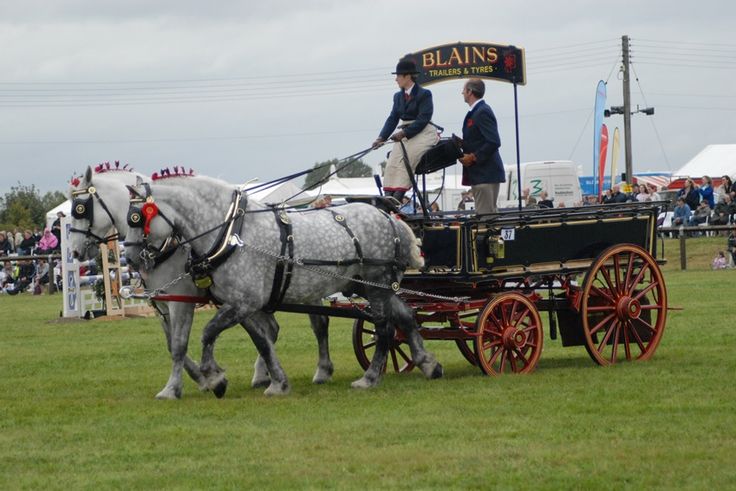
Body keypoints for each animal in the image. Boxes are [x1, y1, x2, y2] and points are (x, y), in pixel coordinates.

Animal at [124, 175, 442, 394]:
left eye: (137, 218)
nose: (129, 258)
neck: (231, 233)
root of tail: (388, 216)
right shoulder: (243, 305)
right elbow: (261, 341)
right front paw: (276, 382)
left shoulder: (244, 303)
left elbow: (208, 333)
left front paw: (214, 378)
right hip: (373, 287)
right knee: (406, 317)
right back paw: (427, 363)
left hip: (376, 286)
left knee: (384, 328)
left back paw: (370, 378)